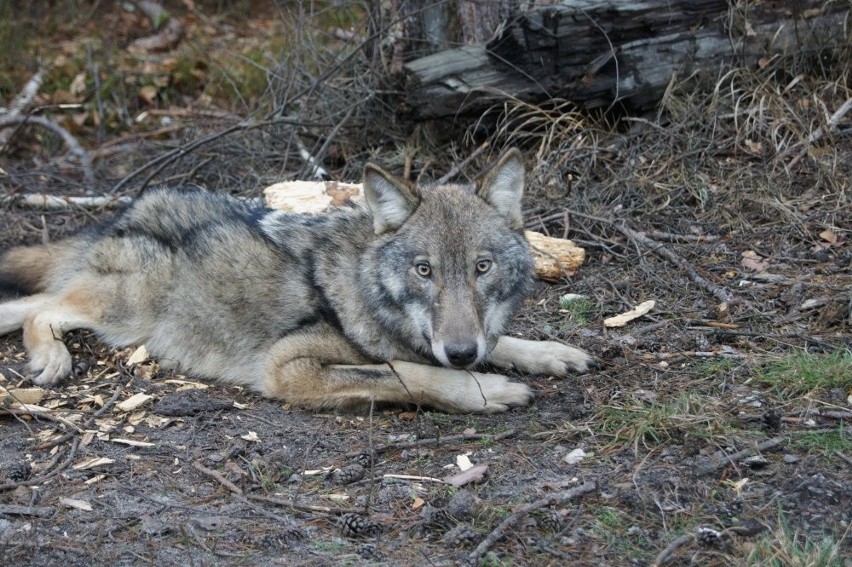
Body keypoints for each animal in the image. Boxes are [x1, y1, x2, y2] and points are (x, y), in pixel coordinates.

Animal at [0, 150, 596, 418]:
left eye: (481, 267)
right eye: (423, 270)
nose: (462, 352)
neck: (366, 296)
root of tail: (127, 211)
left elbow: (501, 342)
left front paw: (548, 353)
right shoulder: (288, 368)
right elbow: (408, 374)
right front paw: (488, 389)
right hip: (127, 309)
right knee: (42, 307)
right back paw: (51, 358)